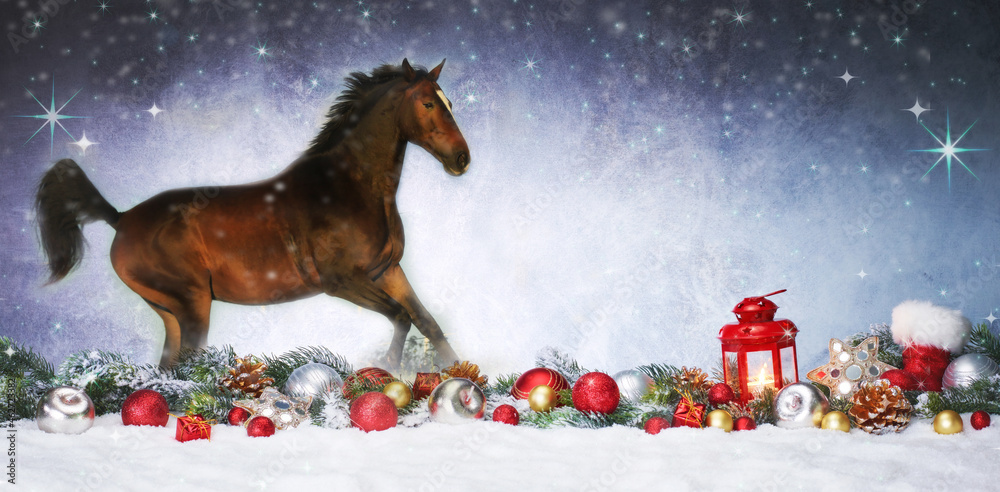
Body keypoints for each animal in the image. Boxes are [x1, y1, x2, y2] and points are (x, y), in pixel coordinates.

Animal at [35, 59, 469, 368]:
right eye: (428, 103)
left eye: (449, 103)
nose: (462, 159)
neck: (348, 187)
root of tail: (121, 218)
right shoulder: (342, 280)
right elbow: (400, 317)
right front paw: (389, 371)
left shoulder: (388, 271)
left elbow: (428, 323)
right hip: (192, 303)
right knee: (188, 364)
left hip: (169, 310)